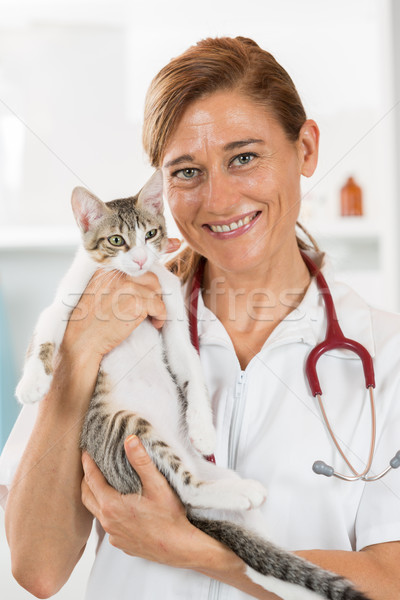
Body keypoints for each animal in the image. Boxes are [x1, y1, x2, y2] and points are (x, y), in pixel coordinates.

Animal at [16, 169, 372, 600]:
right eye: (116, 240)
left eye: (151, 233)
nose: (140, 259)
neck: (135, 279)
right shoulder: (65, 302)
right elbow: (46, 334)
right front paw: (32, 385)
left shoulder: (171, 315)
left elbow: (189, 366)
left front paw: (203, 427)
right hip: (129, 428)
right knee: (189, 488)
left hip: (209, 470)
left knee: (247, 545)